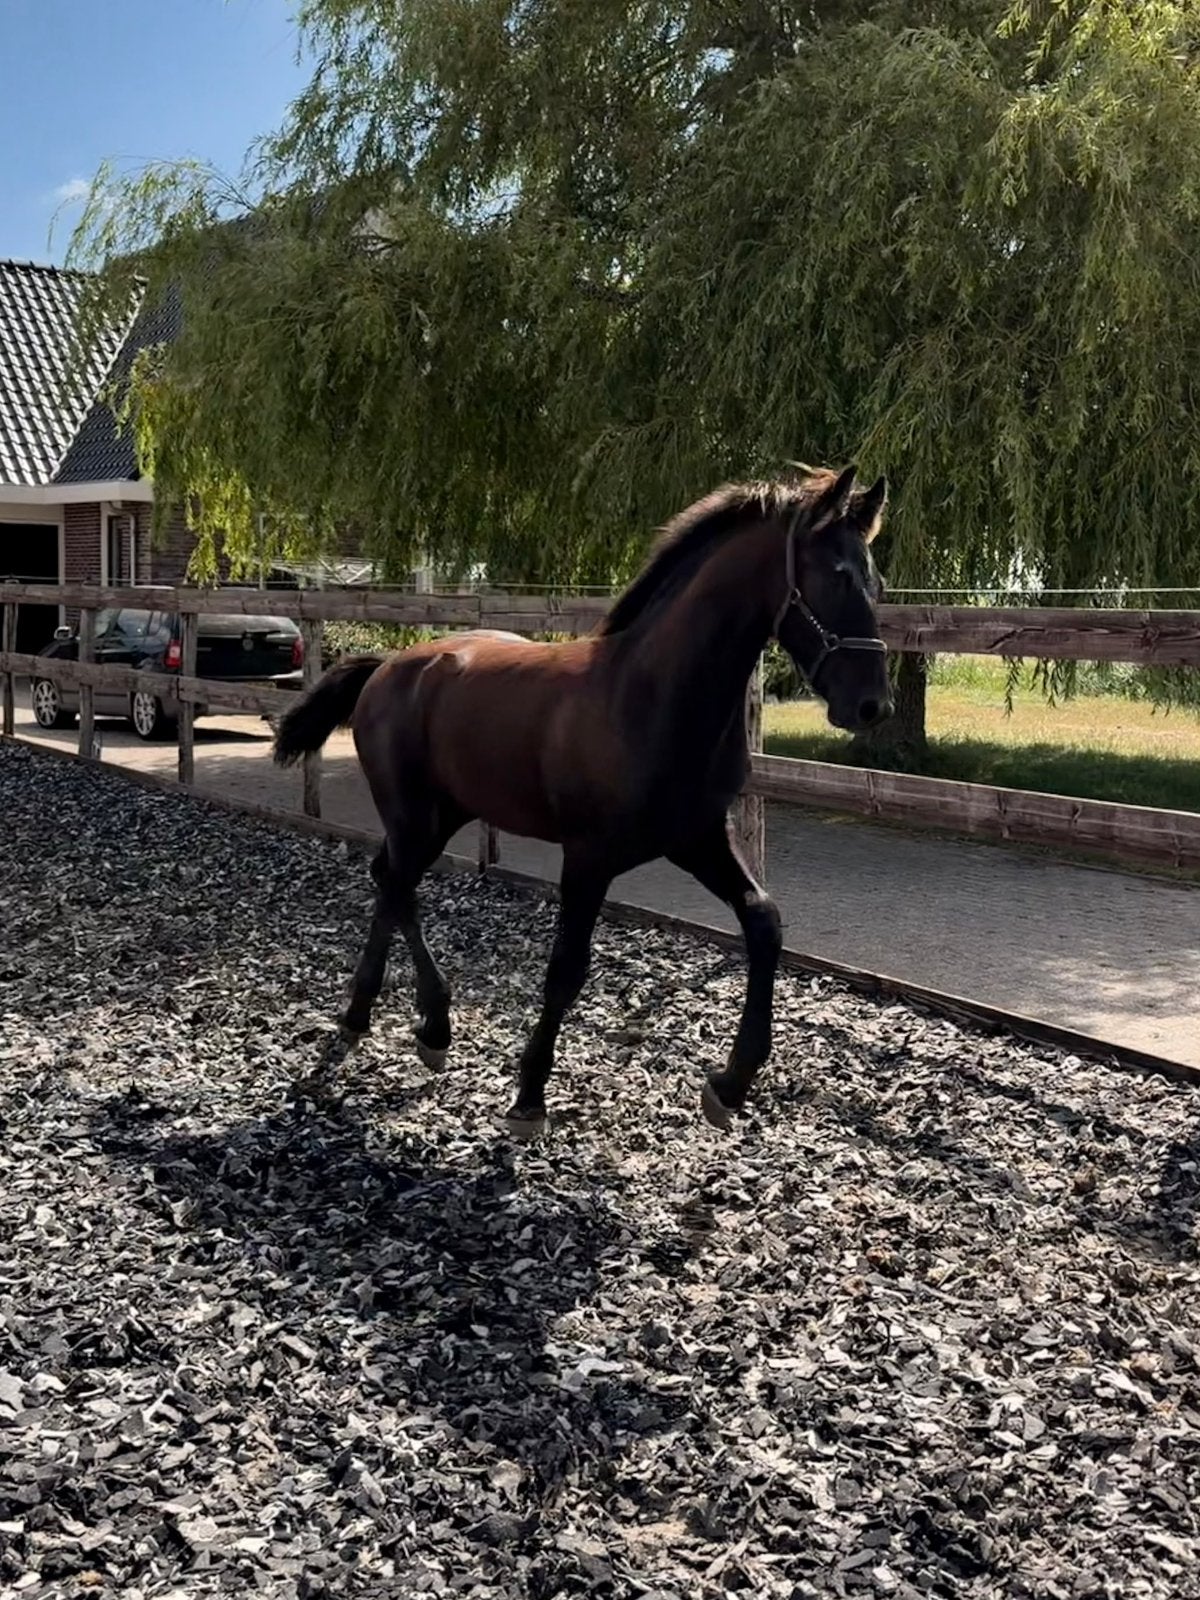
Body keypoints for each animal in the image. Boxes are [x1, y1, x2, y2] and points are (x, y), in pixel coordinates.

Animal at [274, 464, 891, 1134]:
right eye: (836, 575)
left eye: (877, 580)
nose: (872, 706)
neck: (651, 698)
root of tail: (390, 666)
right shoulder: (590, 858)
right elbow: (567, 969)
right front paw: (529, 1096)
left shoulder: (697, 839)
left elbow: (764, 920)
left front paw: (729, 1085)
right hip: (414, 814)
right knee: (398, 885)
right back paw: (425, 1025)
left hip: (445, 814)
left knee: (389, 881)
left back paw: (379, 1017)